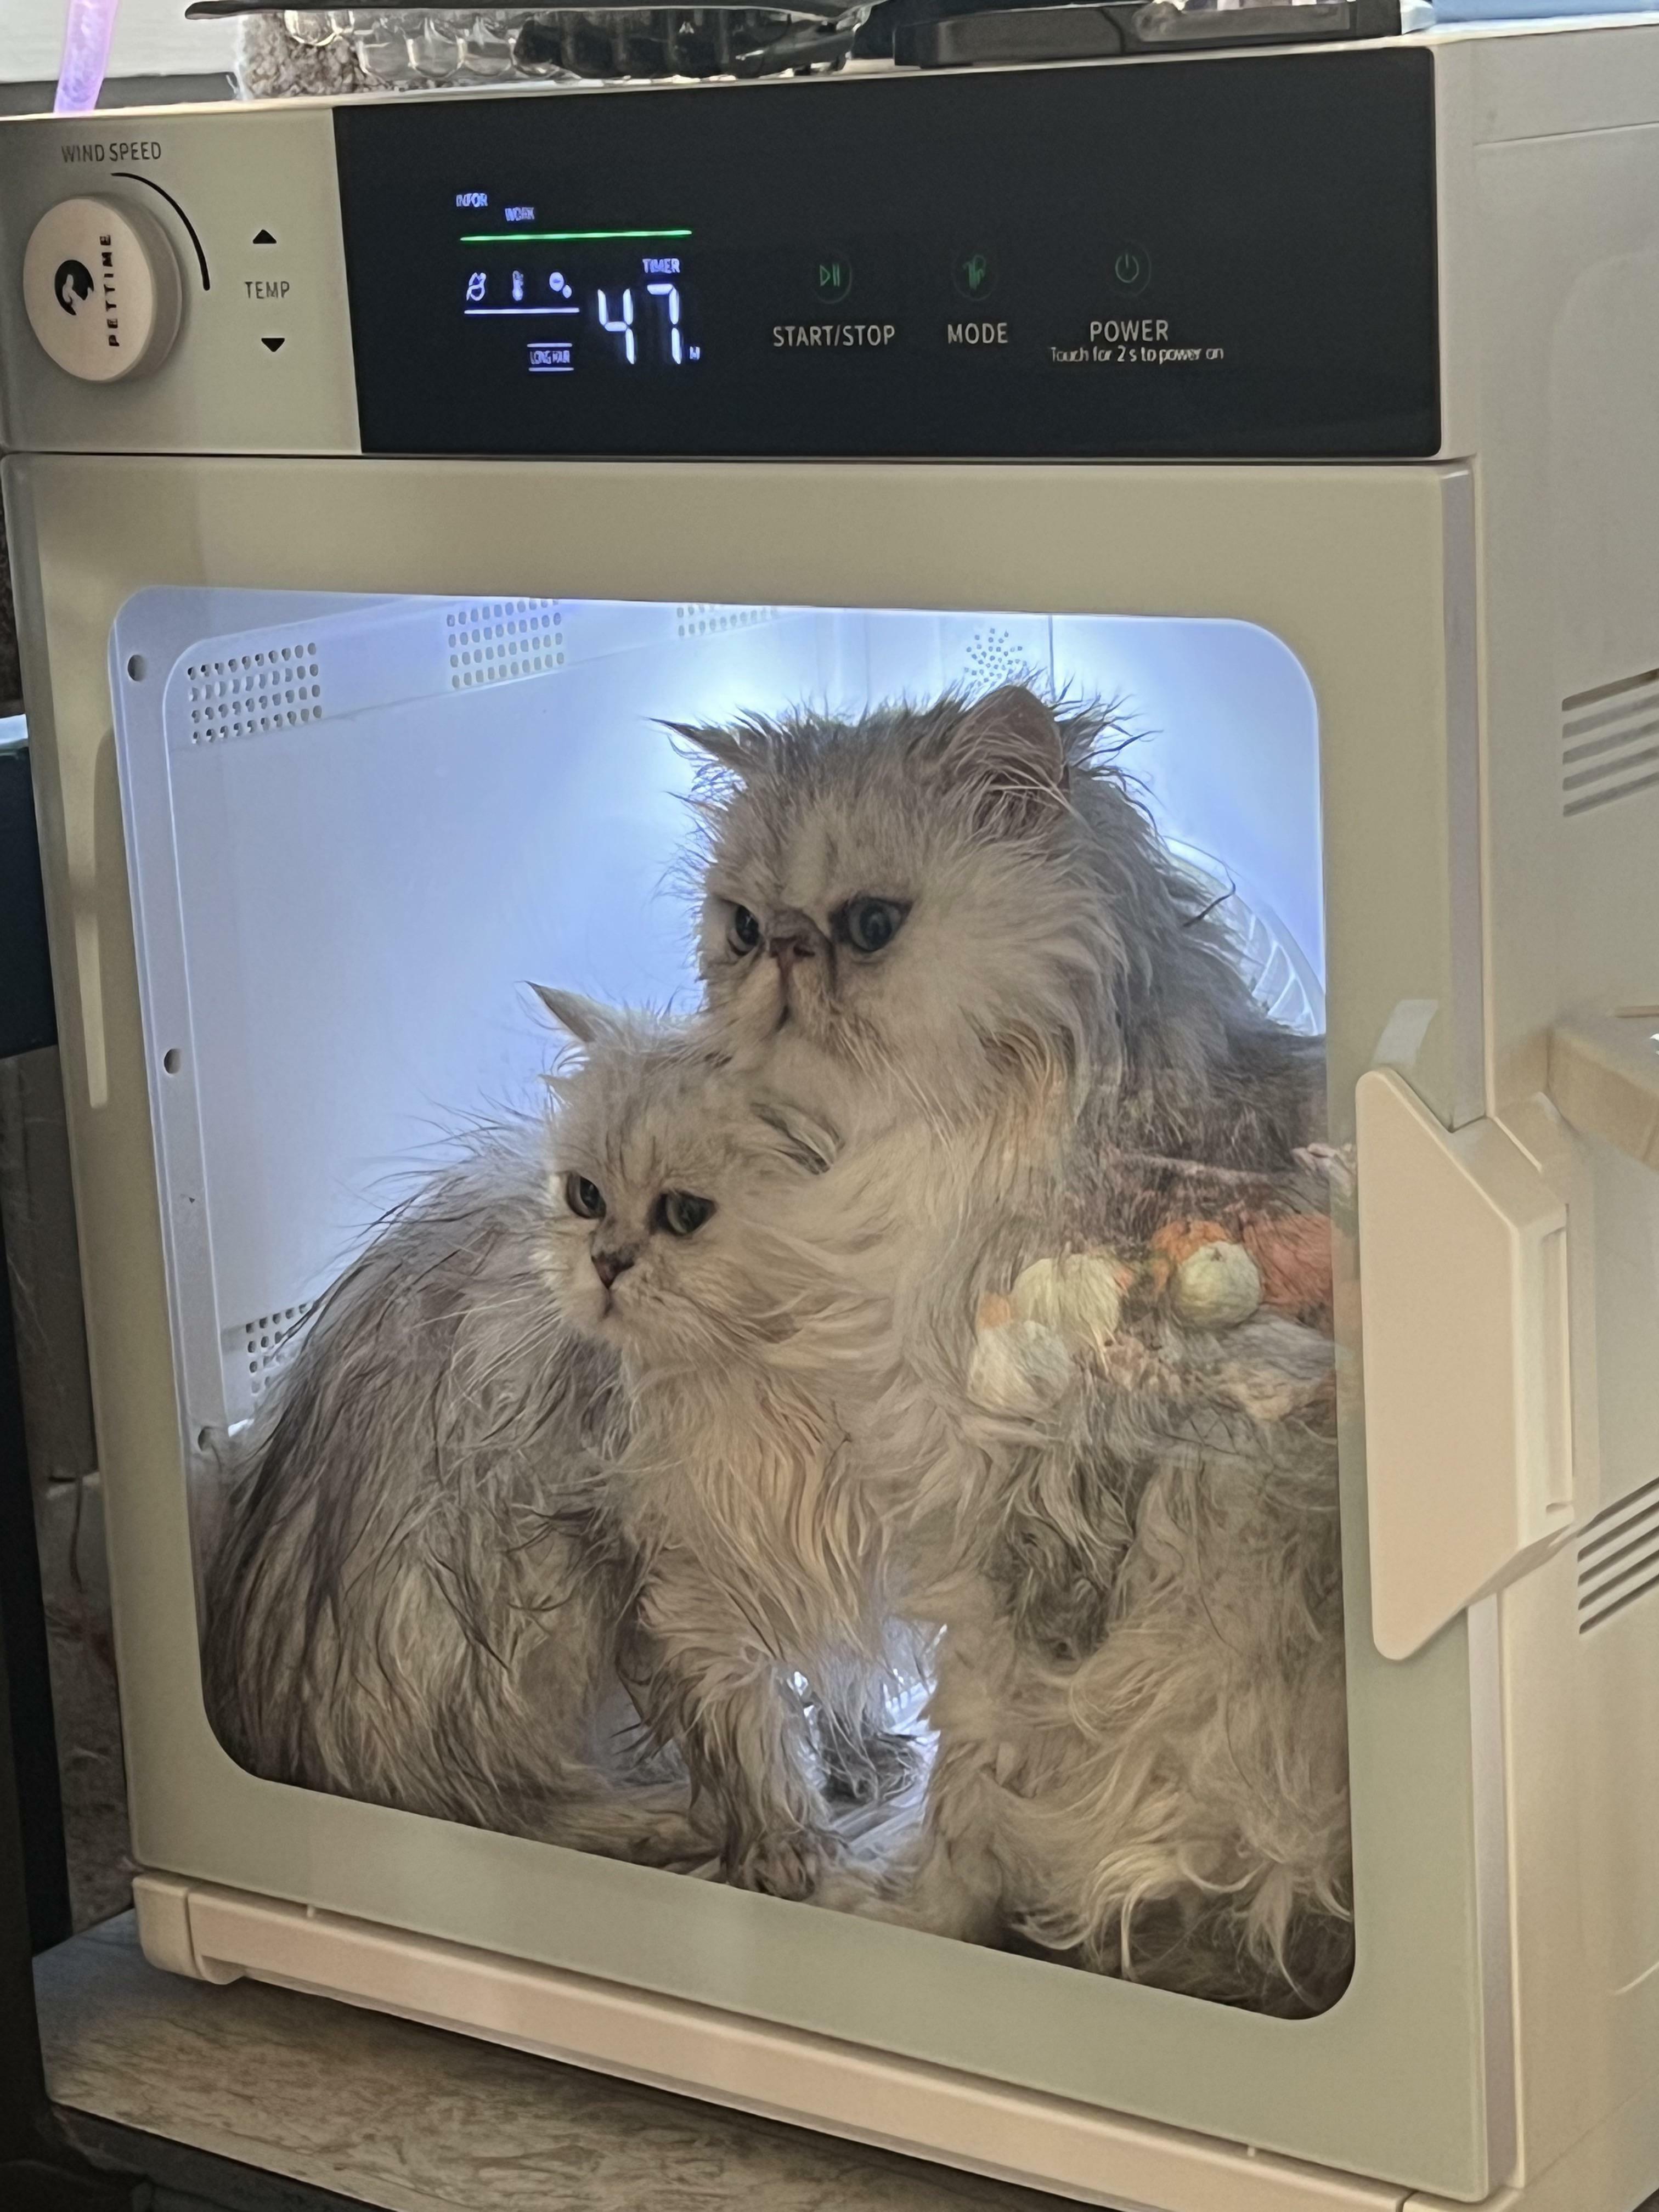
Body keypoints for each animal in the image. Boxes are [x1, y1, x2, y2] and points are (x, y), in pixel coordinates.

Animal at [690, 681, 1353, 2017]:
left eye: (871, 926)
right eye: (737, 926)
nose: (779, 949)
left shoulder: (1012, 1551)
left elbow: (974, 1782)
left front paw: (911, 1914)